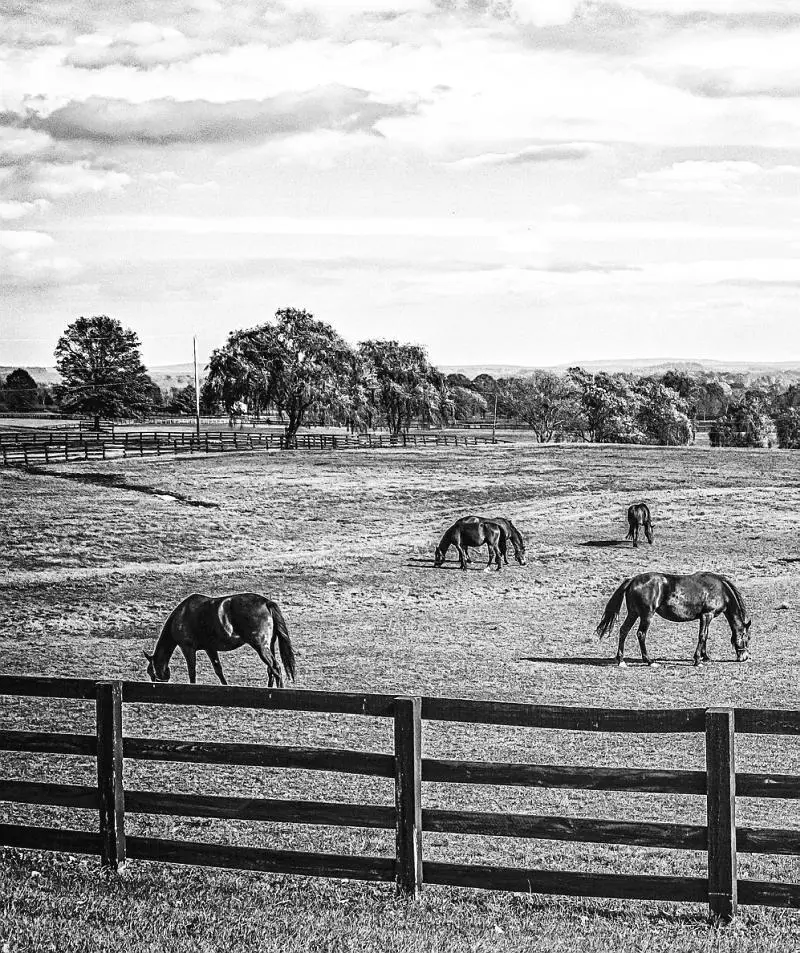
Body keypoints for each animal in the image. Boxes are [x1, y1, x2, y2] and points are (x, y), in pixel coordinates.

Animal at [145, 592, 296, 688]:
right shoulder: (210, 649)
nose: (156, 684)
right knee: (271, 669)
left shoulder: (187, 648)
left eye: (151, 672)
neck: (181, 615)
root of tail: (266, 602)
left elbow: (192, 670)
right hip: (269, 646)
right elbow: (218, 669)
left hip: (261, 647)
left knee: (275, 667)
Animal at [592, 568, 752, 664]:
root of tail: (633, 580)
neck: (721, 589)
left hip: (633, 613)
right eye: (747, 637)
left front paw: (705, 657)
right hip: (646, 615)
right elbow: (702, 636)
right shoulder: (707, 615)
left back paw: (621, 660)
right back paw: (648, 661)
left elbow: (705, 636)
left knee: (624, 631)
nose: (744, 657)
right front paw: (697, 660)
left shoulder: (705, 617)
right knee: (641, 634)